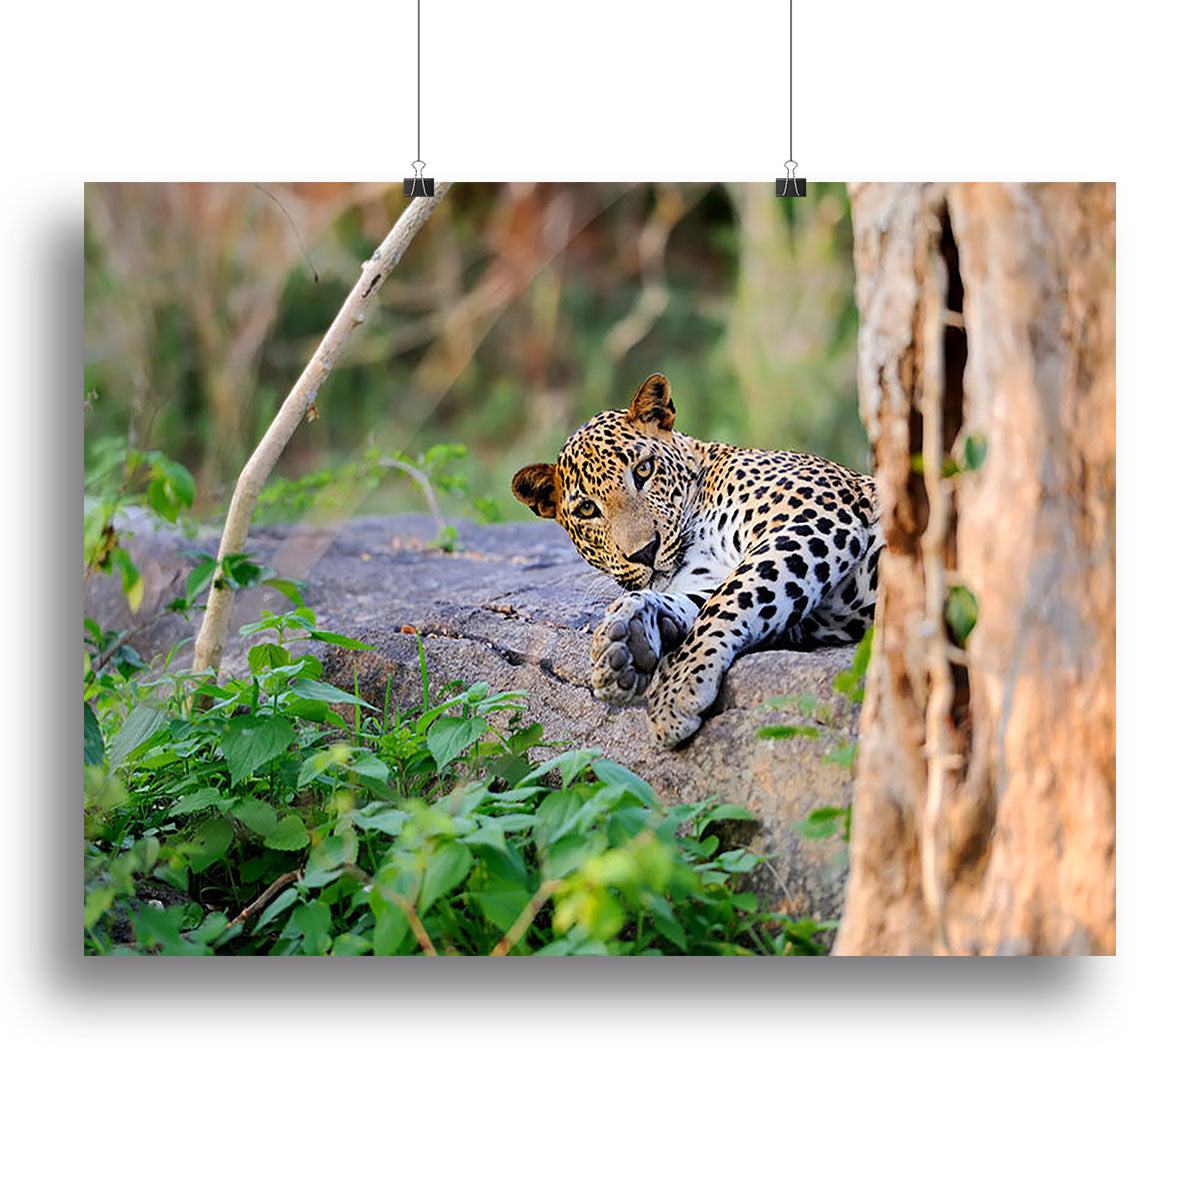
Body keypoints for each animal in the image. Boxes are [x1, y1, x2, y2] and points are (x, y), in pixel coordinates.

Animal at [512, 373, 881, 749]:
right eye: (587, 509)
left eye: (644, 470)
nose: (645, 551)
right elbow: (704, 600)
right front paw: (628, 639)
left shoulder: (812, 518)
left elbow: (729, 598)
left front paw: (676, 688)